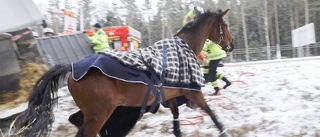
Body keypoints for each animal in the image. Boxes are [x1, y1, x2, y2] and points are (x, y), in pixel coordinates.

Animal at [11, 9, 234, 136]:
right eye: (225, 24)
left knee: (75, 120)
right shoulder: (192, 93)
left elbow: (176, 118)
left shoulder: (172, 95)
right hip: (99, 113)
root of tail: (72, 67)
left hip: (94, 112)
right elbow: (210, 112)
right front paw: (224, 130)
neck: (184, 48)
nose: (231, 45)